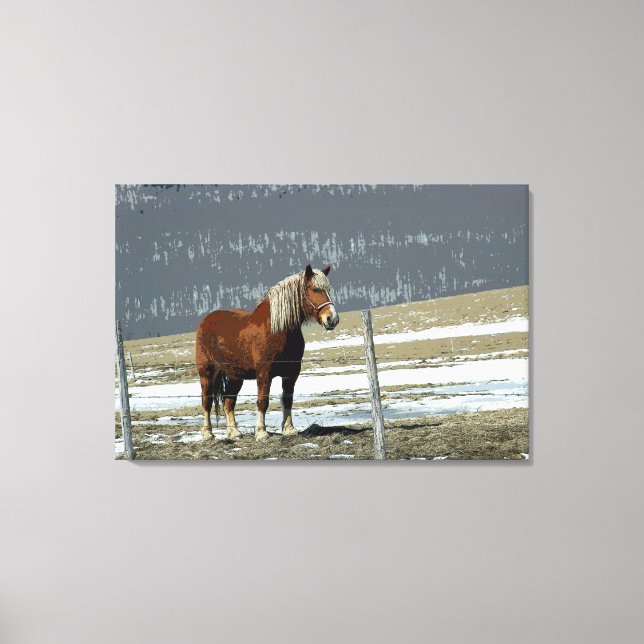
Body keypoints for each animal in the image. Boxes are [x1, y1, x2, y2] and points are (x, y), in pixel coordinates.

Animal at [195, 264, 340, 442]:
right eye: (314, 289)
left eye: (328, 290)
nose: (332, 319)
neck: (277, 330)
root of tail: (206, 320)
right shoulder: (264, 373)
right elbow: (262, 401)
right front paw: (261, 432)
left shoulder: (292, 373)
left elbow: (288, 399)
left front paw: (289, 429)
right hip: (207, 372)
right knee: (206, 401)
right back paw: (207, 433)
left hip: (235, 375)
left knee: (229, 401)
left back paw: (234, 433)